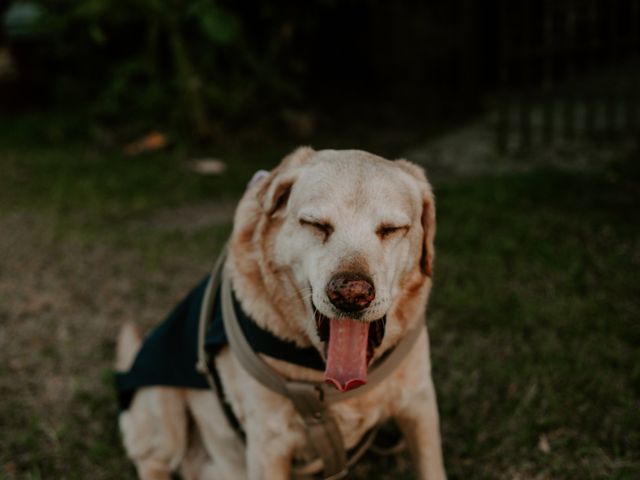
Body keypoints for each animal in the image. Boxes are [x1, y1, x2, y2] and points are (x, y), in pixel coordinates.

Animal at [115, 148, 444, 478]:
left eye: (391, 229)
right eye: (315, 224)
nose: (351, 295)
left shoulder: (419, 404)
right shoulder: (269, 444)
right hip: (162, 406)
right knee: (152, 458)